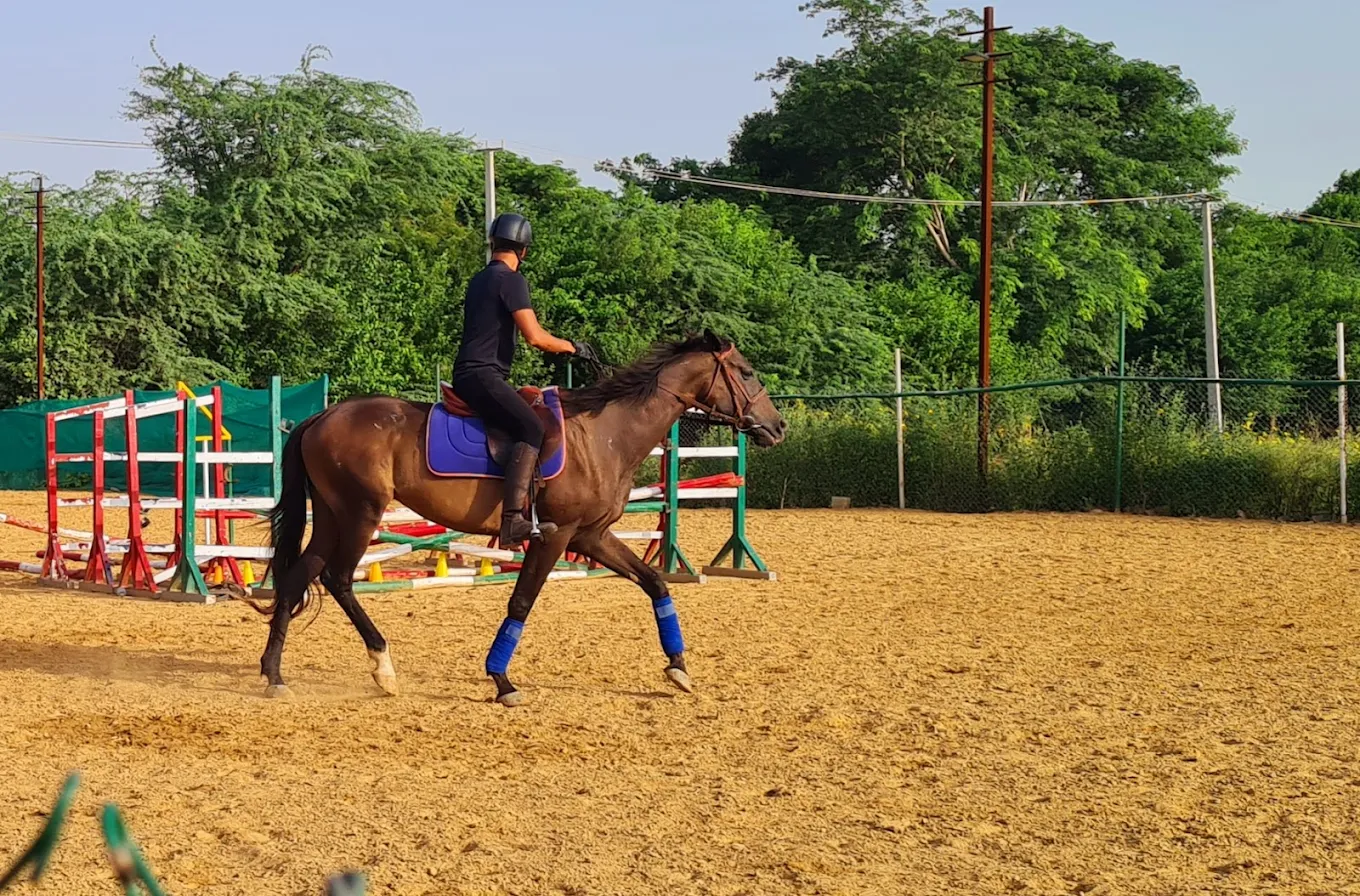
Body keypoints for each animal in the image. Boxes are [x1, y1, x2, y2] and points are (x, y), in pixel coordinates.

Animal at [253, 331, 787, 705]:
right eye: (747, 372)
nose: (778, 427)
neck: (606, 434)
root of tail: (320, 418)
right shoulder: (555, 536)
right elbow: (521, 602)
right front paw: (502, 680)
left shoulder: (591, 536)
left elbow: (654, 581)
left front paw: (678, 668)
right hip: (361, 513)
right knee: (339, 578)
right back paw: (382, 667)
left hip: (332, 515)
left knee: (300, 575)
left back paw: (274, 674)